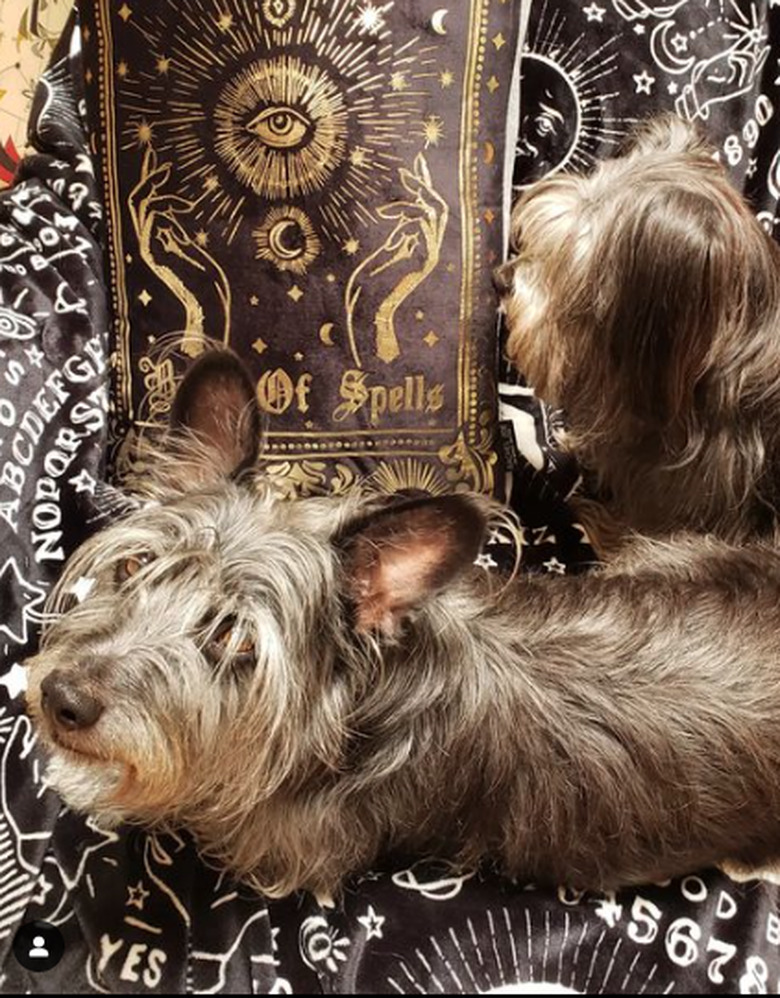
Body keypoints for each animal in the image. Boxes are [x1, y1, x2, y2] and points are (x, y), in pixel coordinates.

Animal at [25, 358, 780, 900]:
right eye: (134, 565)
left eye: (234, 640)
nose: (62, 699)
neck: (364, 705)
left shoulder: (270, 847)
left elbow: (177, 793)